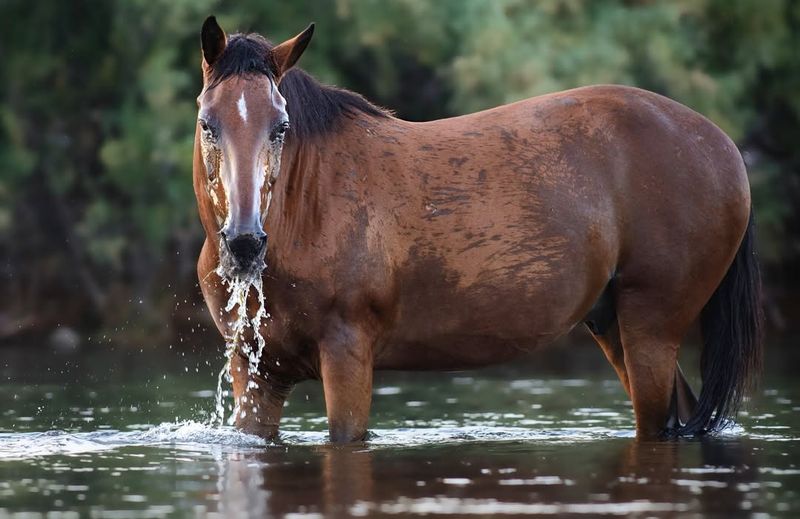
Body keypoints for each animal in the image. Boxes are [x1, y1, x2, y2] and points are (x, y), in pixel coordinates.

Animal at [192, 18, 764, 444]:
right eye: (207, 124)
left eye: (281, 126)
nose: (244, 244)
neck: (306, 211)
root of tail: (722, 145)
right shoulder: (256, 374)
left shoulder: (347, 356)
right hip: (614, 326)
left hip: (652, 328)